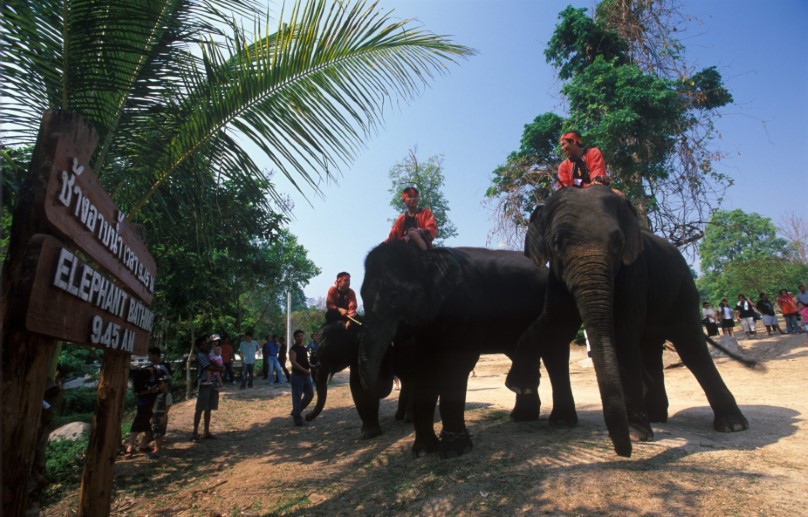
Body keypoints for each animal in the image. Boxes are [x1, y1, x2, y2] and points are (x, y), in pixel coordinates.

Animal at [356, 240, 572, 458]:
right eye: (362, 296)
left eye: (395, 296)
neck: (426, 256)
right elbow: (424, 370)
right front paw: (423, 451)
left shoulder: (464, 307)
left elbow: (456, 367)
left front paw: (454, 451)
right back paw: (522, 416)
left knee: (555, 356)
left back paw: (560, 421)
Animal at [508, 185, 748, 456]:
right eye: (557, 243)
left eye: (617, 242)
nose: (624, 452)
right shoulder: (556, 279)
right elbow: (554, 323)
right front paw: (519, 385)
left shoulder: (634, 274)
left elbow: (622, 335)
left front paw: (636, 433)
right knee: (651, 349)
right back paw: (656, 417)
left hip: (684, 289)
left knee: (691, 347)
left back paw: (732, 425)